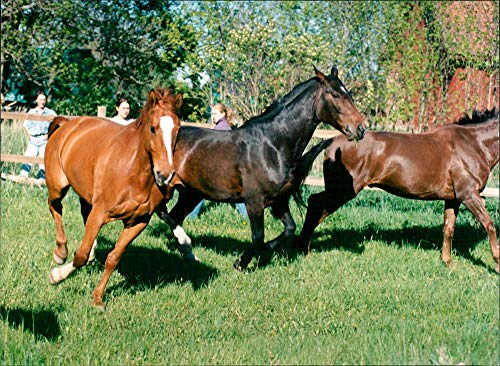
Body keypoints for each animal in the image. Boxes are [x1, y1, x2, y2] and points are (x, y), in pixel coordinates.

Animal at [44, 88, 184, 308]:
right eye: (153, 128)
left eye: (178, 130)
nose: (165, 175)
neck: (133, 171)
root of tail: (67, 124)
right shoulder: (100, 213)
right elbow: (80, 255)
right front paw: (57, 276)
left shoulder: (138, 221)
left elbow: (113, 258)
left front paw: (98, 298)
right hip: (57, 186)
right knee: (55, 207)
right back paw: (60, 254)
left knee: (82, 212)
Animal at [158, 67, 366, 270]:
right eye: (335, 95)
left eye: (348, 94)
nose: (360, 128)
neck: (272, 146)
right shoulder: (254, 202)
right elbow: (258, 237)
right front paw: (241, 262)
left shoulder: (280, 201)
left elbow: (289, 229)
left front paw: (264, 252)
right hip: (166, 189)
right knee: (163, 213)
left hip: (191, 193)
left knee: (175, 216)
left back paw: (187, 252)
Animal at [298, 108, 498, 272]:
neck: (472, 145)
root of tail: (331, 140)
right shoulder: (469, 195)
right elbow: (489, 225)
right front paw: (497, 264)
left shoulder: (453, 198)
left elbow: (448, 229)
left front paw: (447, 262)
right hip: (342, 191)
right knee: (315, 204)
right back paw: (303, 249)